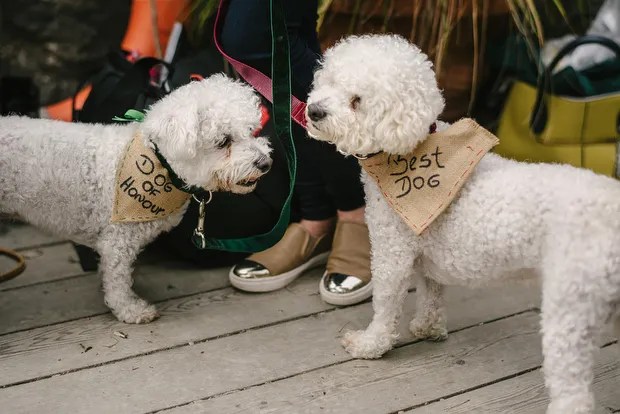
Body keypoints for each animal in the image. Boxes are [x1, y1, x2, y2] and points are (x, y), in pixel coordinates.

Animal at [0, 76, 272, 326]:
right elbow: (117, 281)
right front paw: (130, 310)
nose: (266, 163)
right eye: (223, 141)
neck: (158, 160)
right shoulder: (116, 241)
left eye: (251, 131)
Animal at [306, 34, 620, 414]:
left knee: (573, 391)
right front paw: (427, 327)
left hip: (571, 310)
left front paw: (370, 344)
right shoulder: (426, 248)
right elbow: (432, 292)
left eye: (357, 101)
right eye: (329, 82)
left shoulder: (393, 253)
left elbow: (385, 304)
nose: (313, 111)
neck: (412, 150)